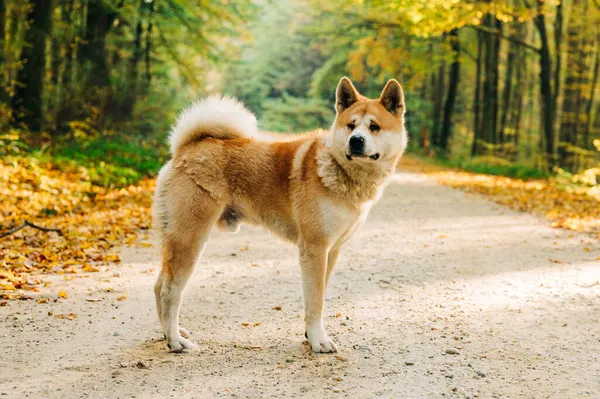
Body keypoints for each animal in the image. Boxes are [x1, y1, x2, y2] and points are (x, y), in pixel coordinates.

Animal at [152, 78, 410, 354]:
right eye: (351, 125)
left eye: (374, 127)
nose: (356, 141)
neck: (341, 171)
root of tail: (185, 148)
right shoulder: (314, 249)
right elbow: (316, 301)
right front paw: (318, 340)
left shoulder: (332, 250)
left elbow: (318, 296)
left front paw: (310, 335)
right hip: (190, 239)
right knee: (170, 291)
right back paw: (175, 341)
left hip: (178, 240)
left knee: (158, 285)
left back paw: (168, 333)